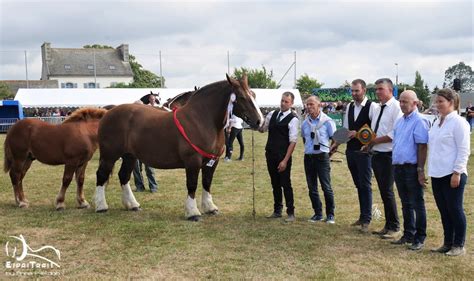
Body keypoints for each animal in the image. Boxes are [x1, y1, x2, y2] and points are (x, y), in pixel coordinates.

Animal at [92, 75, 262, 220]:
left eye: (253, 95)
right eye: (241, 97)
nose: (259, 121)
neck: (202, 120)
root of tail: (106, 112)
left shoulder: (212, 161)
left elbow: (207, 183)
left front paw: (210, 207)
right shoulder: (193, 161)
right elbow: (192, 184)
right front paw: (193, 212)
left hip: (129, 156)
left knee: (124, 176)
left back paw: (132, 205)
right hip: (109, 155)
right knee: (101, 175)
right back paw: (101, 206)